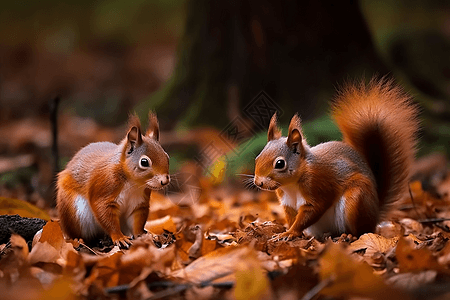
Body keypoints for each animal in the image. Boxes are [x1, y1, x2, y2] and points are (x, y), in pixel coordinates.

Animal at [56, 111, 169, 247]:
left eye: (167, 156)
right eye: (144, 162)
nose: (165, 181)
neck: (132, 183)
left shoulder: (138, 202)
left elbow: (137, 222)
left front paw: (144, 235)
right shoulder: (104, 187)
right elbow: (106, 215)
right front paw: (119, 237)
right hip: (73, 211)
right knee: (74, 232)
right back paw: (77, 240)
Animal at [253, 78, 418, 240]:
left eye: (280, 163)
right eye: (257, 158)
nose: (258, 182)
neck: (291, 184)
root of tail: (375, 214)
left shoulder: (317, 186)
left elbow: (312, 211)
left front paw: (290, 233)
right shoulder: (287, 203)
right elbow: (292, 217)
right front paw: (287, 231)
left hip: (356, 199)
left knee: (362, 231)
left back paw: (349, 236)